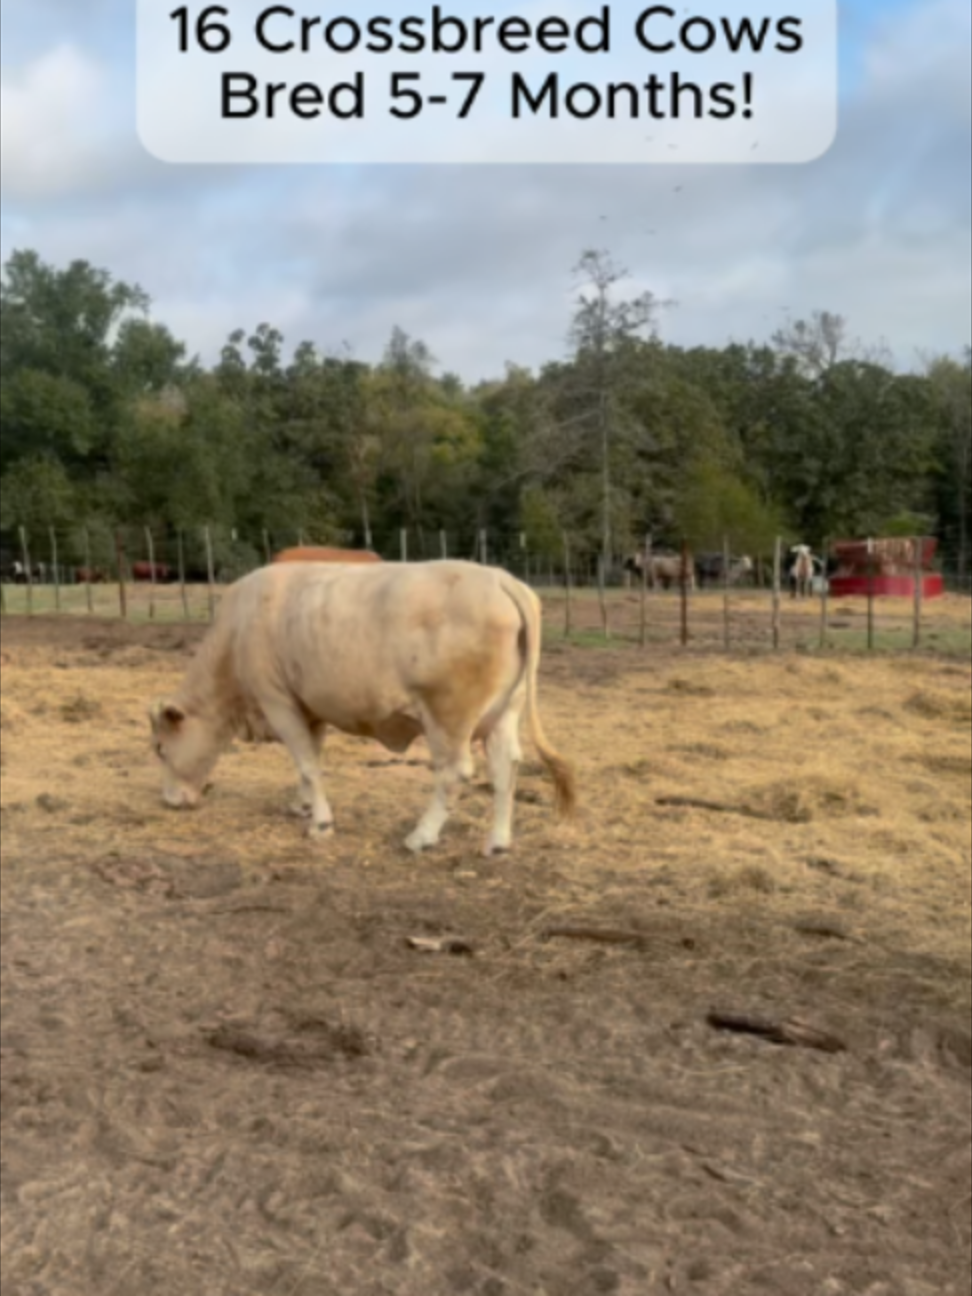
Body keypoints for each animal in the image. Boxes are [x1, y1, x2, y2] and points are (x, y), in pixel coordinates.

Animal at [147, 559, 576, 857]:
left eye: (160, 749)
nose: (169, 800)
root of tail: (499, 578)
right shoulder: (309, 706)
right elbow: (310, 760)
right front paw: (303, 805)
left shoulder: (277, 701)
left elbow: (306, 763)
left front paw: (320, 824)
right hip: (504, 714)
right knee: (505, 769)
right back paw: (498, 843)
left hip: (449, 717)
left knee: (455, 772)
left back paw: (421, 836)